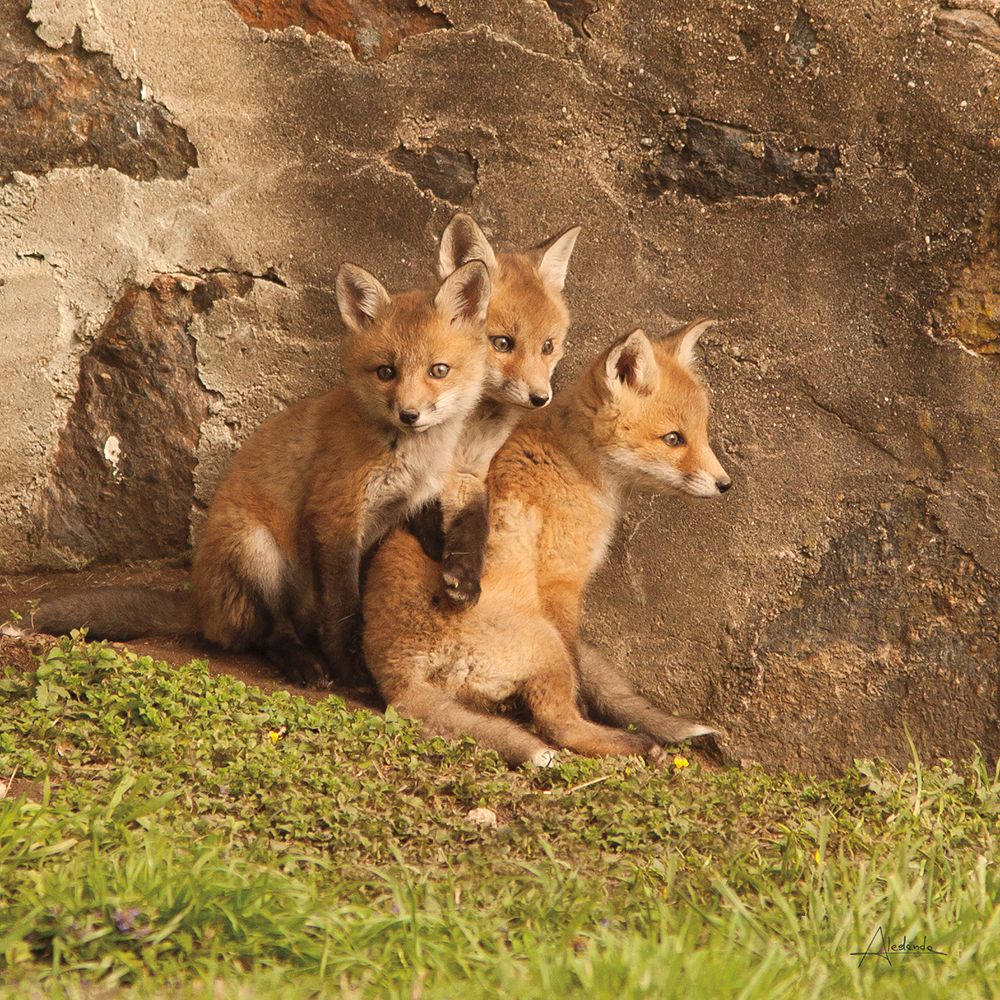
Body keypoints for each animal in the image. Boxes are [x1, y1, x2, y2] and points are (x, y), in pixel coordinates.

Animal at [34, 259, 492, 686]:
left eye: (438, 370)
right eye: (386, 372)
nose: (409, 415)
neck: (411, 457)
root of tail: (202, 606)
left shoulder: (417, 498)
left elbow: (444, 540)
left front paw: (465, 578)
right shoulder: (335, 515)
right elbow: (343, 609)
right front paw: (351, 671)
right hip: (255, 549)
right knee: (271, 634)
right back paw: (304, 663)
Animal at [361, 319, 730, 766]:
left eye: (701, 434)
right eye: (673, 439)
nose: (726, 484)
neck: (571, 465)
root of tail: (397, 679)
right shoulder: (561, 583)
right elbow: (576, 682)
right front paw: (594, 713)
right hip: (545, 641)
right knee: (560, 725)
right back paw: (638, 745)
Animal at [409, 213, 580, 606]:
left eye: (548, 346)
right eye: (502, 343)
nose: (540, 398)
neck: (470, 426)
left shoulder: (471, 472)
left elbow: (478, 519)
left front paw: (465, 575)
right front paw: (433, 540)